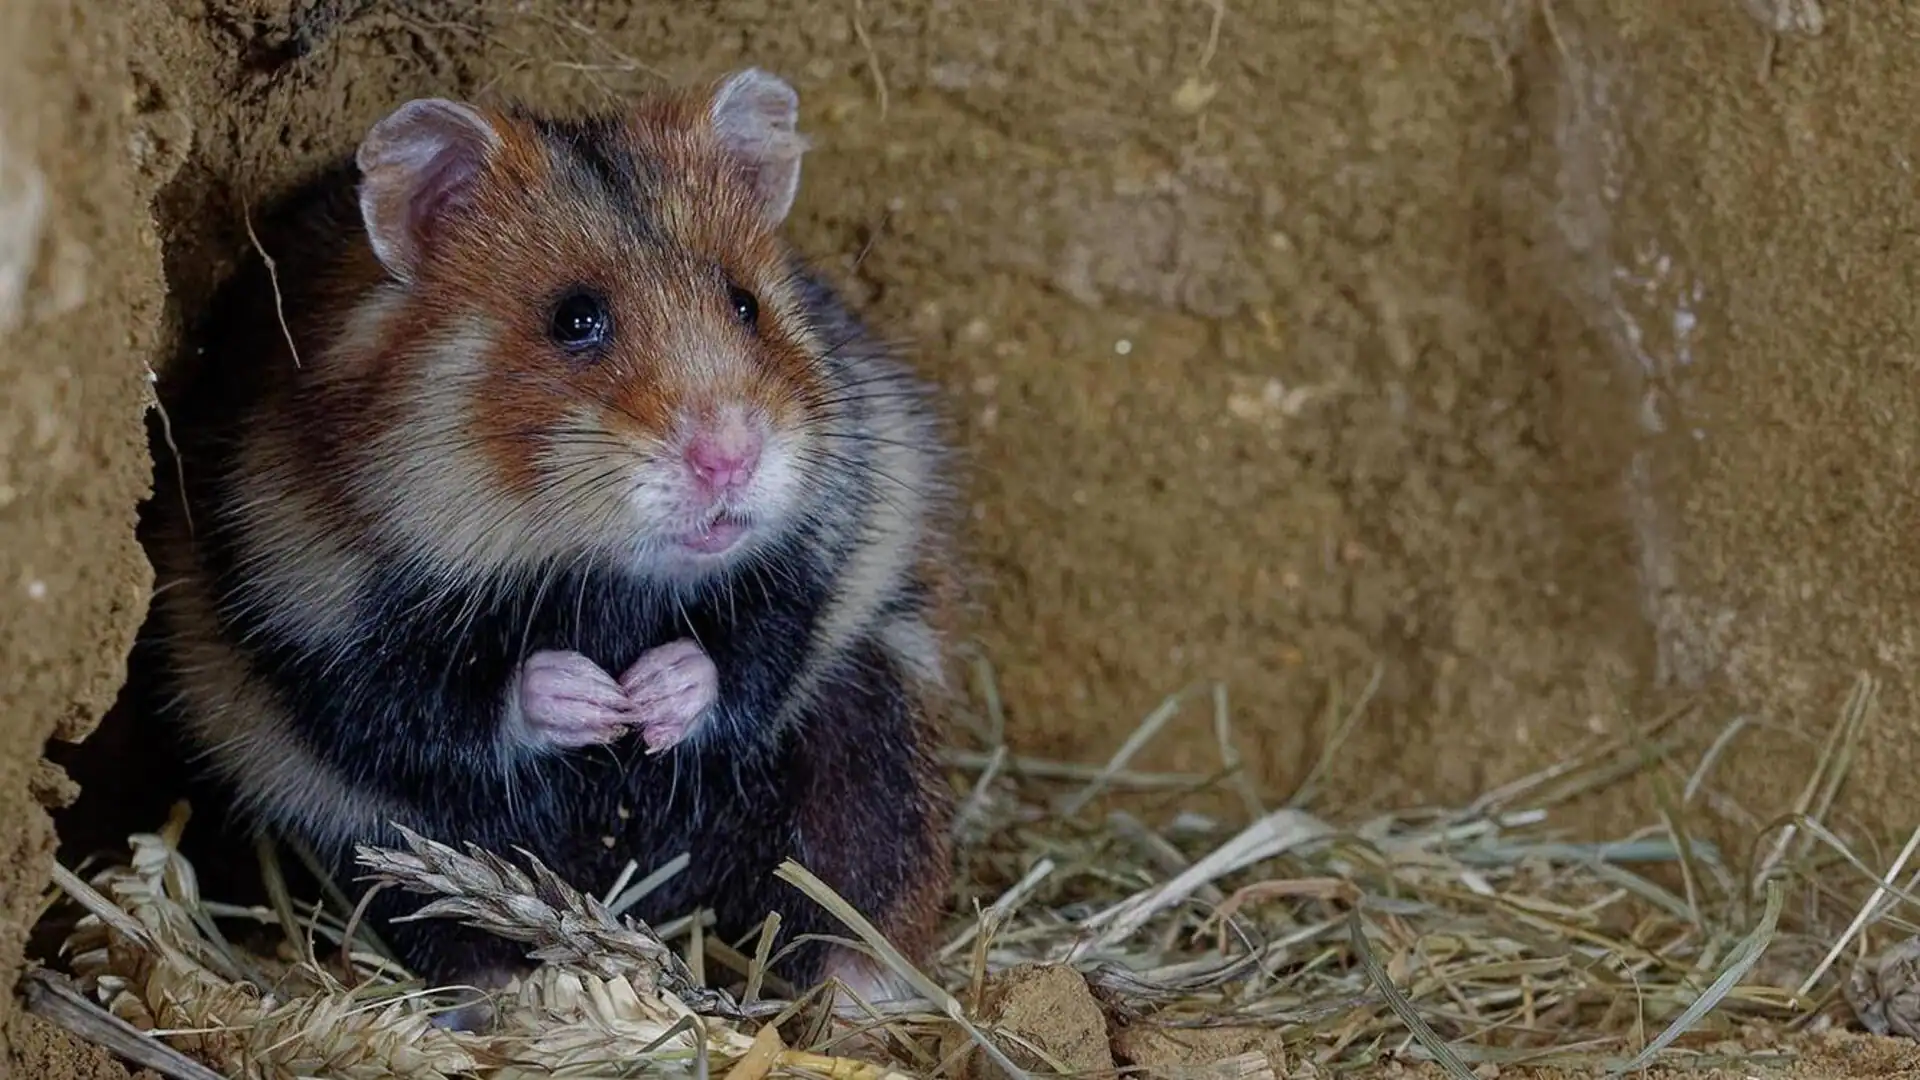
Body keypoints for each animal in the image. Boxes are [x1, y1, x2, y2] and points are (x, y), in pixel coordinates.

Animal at [139, 68, 958, 1014]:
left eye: (746, 304)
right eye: (575, 319)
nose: (732, 457)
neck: (594, 576)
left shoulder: (824, 547)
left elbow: (756, 648)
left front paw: (650, 697)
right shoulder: (304, 598)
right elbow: (429, 705)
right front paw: (597, 701)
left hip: (864, 736)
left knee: (856, 870)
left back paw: (856, 996)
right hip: (371, 834)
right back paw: (515, 995)